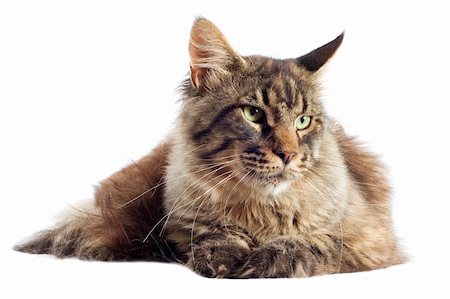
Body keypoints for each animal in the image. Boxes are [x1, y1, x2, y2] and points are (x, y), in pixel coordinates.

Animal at [14, 17, 404, 278]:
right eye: (253, 114)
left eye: (303, 121)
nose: (289, 155)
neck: (259, 208)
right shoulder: (184, 221)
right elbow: (213, 234)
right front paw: (224, 256)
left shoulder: (371, 240)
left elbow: (312, 241)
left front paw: (269, 259)